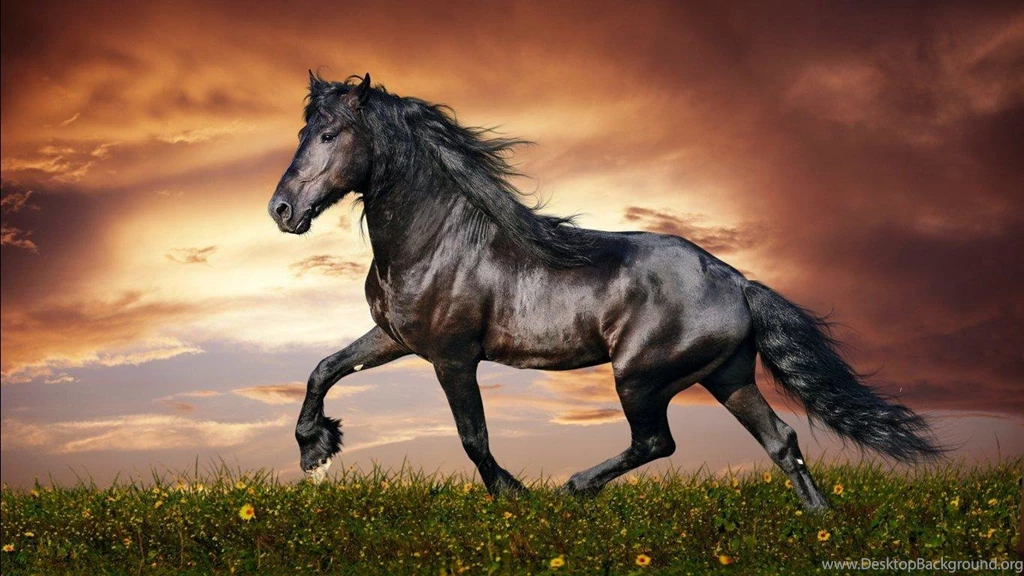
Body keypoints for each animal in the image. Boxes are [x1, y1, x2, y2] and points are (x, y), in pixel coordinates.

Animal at [268, 72, 941, 509]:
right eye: (303, 132)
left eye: (330, 135)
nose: (281, 210)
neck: (435, 240)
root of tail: (736, 281)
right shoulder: (396, 337)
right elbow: (324, 368)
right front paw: (315, 450)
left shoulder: (452, 356)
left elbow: (472, 436)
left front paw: (514, 495)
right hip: (727, 375)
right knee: (781, 441)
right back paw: (818, 522)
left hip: (640, 376)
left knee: (657, 441)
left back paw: (574, 487)